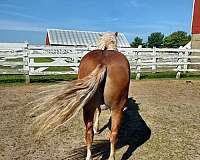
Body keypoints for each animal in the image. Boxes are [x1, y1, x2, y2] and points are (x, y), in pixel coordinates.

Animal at [32, 31, 130, 159]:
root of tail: (103, 63)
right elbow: (99, 112)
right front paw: (97, 128)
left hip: (100, 108)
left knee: (95, 133)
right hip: (109, 108)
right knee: (105, 134)